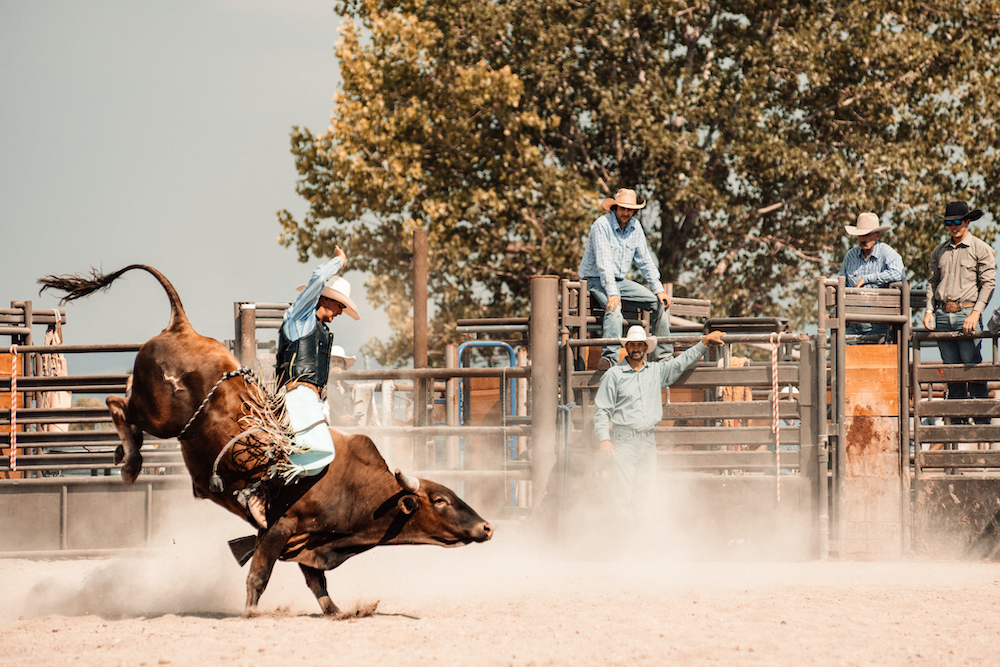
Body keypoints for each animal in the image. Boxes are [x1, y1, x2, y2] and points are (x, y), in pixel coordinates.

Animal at [39, 264, 492, 616]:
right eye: (441, 500)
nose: (487, 527)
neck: (355, 488)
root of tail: (182, 326)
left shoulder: (308, 542)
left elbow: (317, 584)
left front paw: (340, 612)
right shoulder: (281, 528)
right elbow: (259, 575)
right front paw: (251, 613)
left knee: (122, 399)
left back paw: (123, 453)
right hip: (161, 415)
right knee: (117, 403)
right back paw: (131, 462)